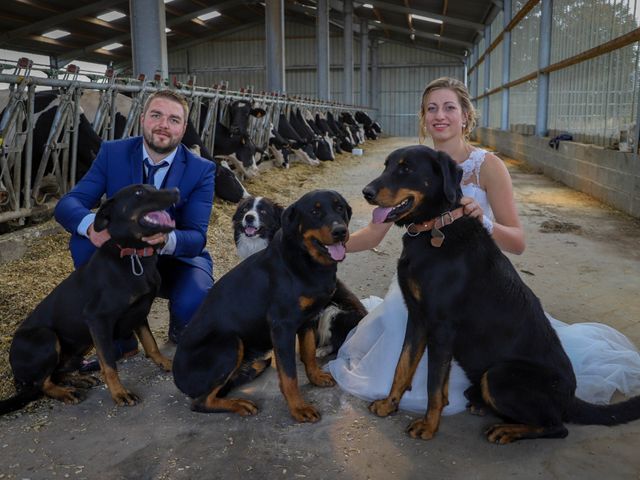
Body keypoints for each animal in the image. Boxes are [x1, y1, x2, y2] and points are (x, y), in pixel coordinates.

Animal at [0, 185, 178, 416]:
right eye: (139, 193)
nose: (176, 191)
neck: (134, 256)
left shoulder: (139, 312)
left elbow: (151, 343)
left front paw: (165, 362)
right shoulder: (97, 319)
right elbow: (109, 365)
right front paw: (120, 393)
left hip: (82, 342)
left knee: (55, 373)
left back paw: (79, 380)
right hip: (47, 336)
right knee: (42, 384)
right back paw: (66, 392)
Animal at [172, 189, 352, 422]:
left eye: (340, 208)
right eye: (315, 211)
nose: (340, 231)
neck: (305, 260)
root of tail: (178, 379)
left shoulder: (307, 319)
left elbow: (309, 353)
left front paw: (315, 378)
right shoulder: (282, 326)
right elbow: (289, 375)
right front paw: (298, 408)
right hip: (230, 344)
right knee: (201, 402)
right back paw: (239, 404)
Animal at [362, 144, 640, 444]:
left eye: (406, 168)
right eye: (387, 165)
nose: (366, 192)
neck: (435, 228)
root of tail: (570, 397)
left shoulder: (441, 327)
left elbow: (433, 386)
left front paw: (428, 426)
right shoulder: (417, 318)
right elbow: (402, 367)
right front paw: (388, 404)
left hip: (498, 375)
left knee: (557, 427)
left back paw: (506, 429)